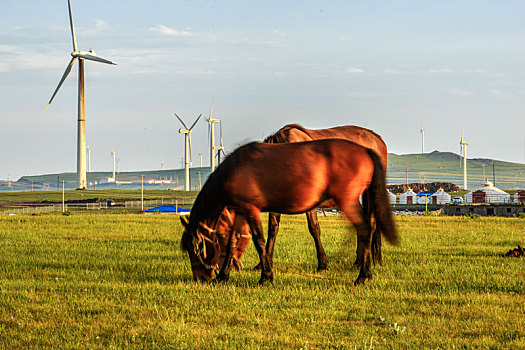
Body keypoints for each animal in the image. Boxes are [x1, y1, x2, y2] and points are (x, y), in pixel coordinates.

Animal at [180, 138, 398, 286]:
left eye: (195, 249)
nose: (200, 277)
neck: (233, 170)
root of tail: (366, 150)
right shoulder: (241, 210)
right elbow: (233, 241)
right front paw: (223, 275)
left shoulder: (251, 210)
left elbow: (259, 241)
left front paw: (266, 276)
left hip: (348, 202)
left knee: (364, 230)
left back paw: (362, 275)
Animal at [262, 123, 388, 270]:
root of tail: (377, 139)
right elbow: (272, 229)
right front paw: (264, 263)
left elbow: (314, 228)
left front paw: (322, 263)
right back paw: (361, 261)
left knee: (370, 225)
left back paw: (364, 261)